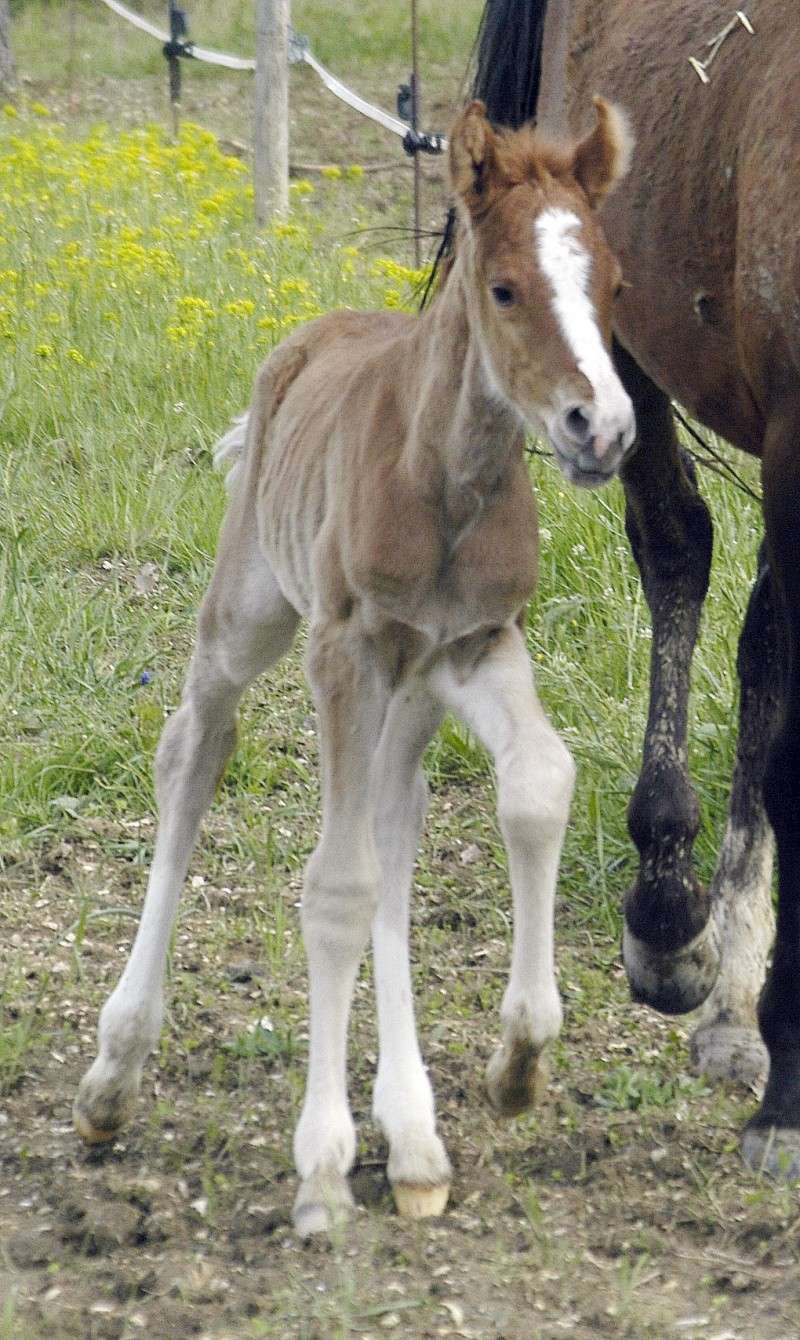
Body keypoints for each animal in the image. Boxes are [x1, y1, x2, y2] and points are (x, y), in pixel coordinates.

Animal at [75, 101, 635, 1232]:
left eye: (610, 284)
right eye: (504, 288)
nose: (599, 428)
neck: (447, 482)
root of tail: (307, 335)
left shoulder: (473, 644)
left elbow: (536, 785)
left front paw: (518, 1063)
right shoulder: (343, 649)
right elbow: (335, 886)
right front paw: (322, 1167)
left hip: (408, 693)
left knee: (393, 820)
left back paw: (415, 1138)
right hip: (249, 613)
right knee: (194, 751)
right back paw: (116, 1070)